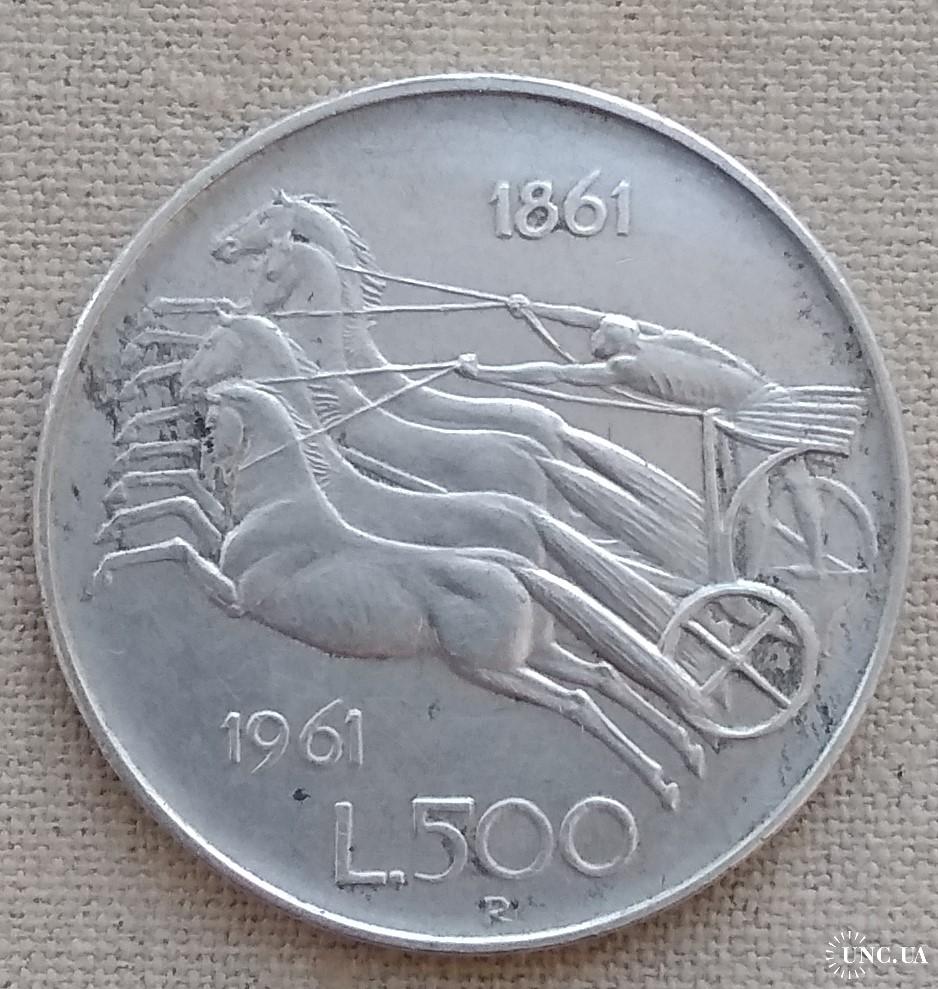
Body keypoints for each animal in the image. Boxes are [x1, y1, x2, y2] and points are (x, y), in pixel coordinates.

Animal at [93, 379, 725, 807]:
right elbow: (184, 508)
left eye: (214, 421)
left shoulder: (235, 599)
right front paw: (116, 515)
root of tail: (519, 569)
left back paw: (664, 783)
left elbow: (177, 543)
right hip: (539, 653)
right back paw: (686, 758)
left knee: (579, 702)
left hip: (490, 669)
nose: (206, 454)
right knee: (605, 676)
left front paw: (107, 565)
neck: (282, 503)